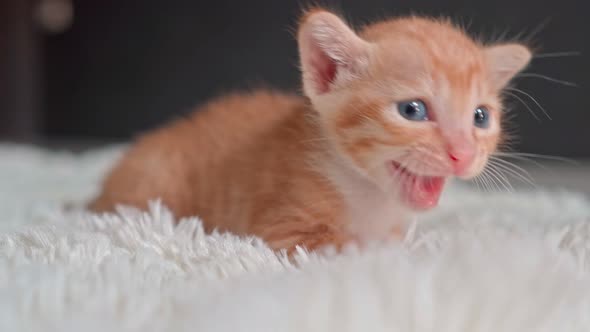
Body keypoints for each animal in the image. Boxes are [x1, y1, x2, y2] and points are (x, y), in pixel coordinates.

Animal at [90, 9, 536, 253]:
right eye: (413, 110)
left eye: (480, 117)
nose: (463, 154)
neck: (371, 198)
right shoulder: (283, 229)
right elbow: (348, 246)